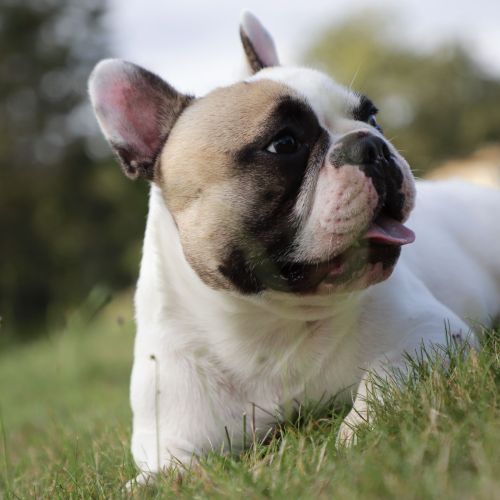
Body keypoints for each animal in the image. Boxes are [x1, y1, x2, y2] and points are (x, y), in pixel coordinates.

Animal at [88, 12, 500, 485]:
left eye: (372, 117)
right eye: (284, 144)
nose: (372, 145)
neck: (269, 327)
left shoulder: (430, 335)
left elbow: (383, 379)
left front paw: (356, 432)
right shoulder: (169, 443)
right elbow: (163, 477)